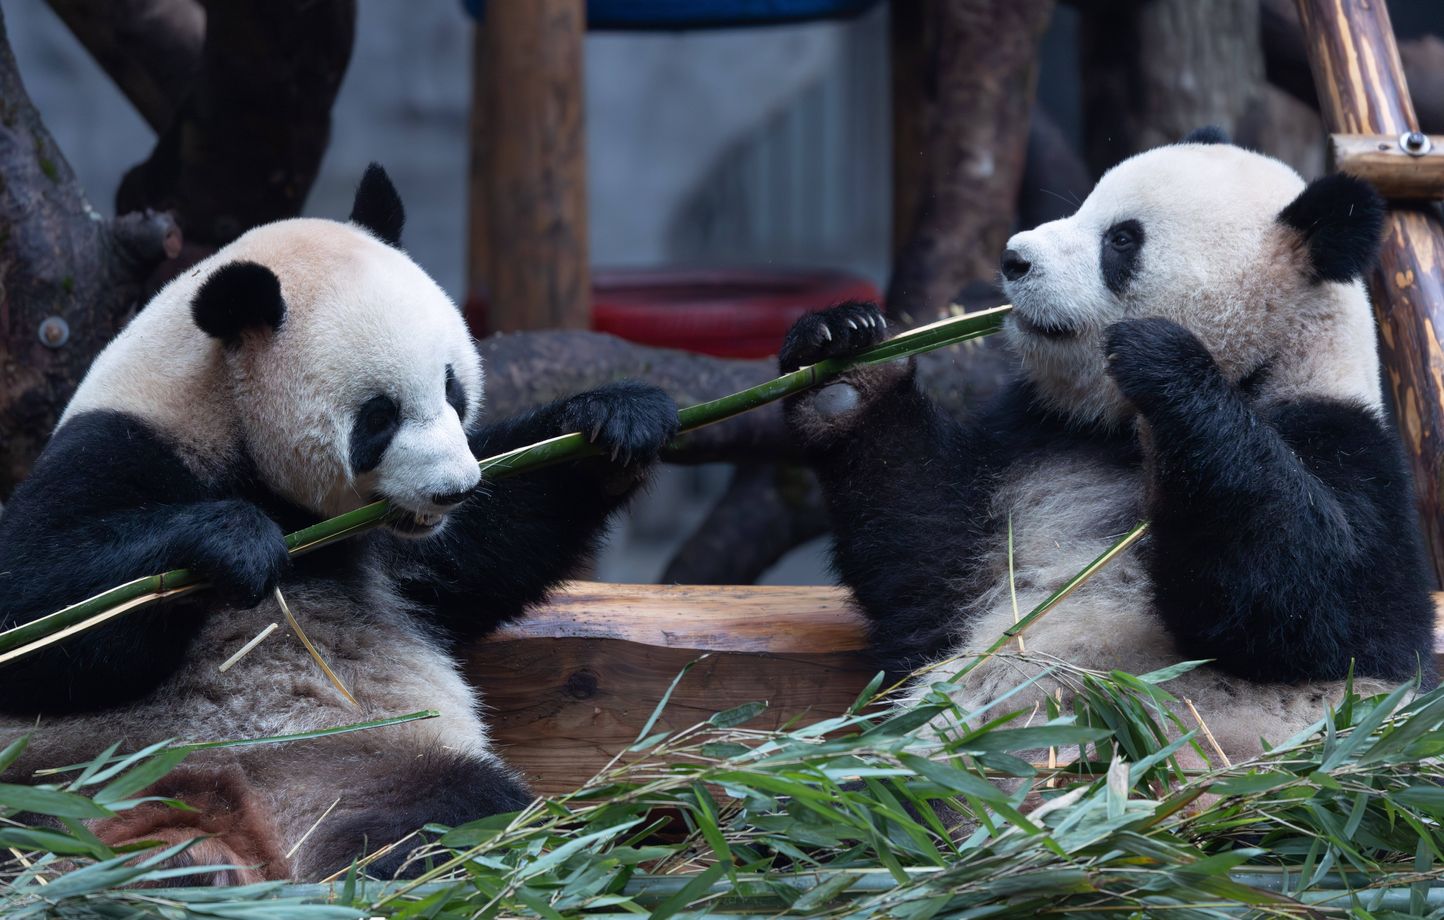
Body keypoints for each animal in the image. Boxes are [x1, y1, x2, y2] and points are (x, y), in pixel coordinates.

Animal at [0, 165, 679, 880]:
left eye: (452, 388)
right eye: (379, 417)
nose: (455, 490)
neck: (224, 414)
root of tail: (238, 833)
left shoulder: (395, 544)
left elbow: (488, 545)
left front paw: (616, 422)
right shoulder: (120, 446)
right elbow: (38, 615)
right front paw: (232, 542)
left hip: (364, 768)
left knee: (452, 816)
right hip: (60, 782)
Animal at [780, 129, 1437, 764]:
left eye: (1121, 240)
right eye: (1084, 207)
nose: (1014, 259)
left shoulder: (1346, 444)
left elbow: (1323, 612)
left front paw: (1164, 363)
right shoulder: (1035, 447)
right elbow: (929, 561)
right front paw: (841, 366)